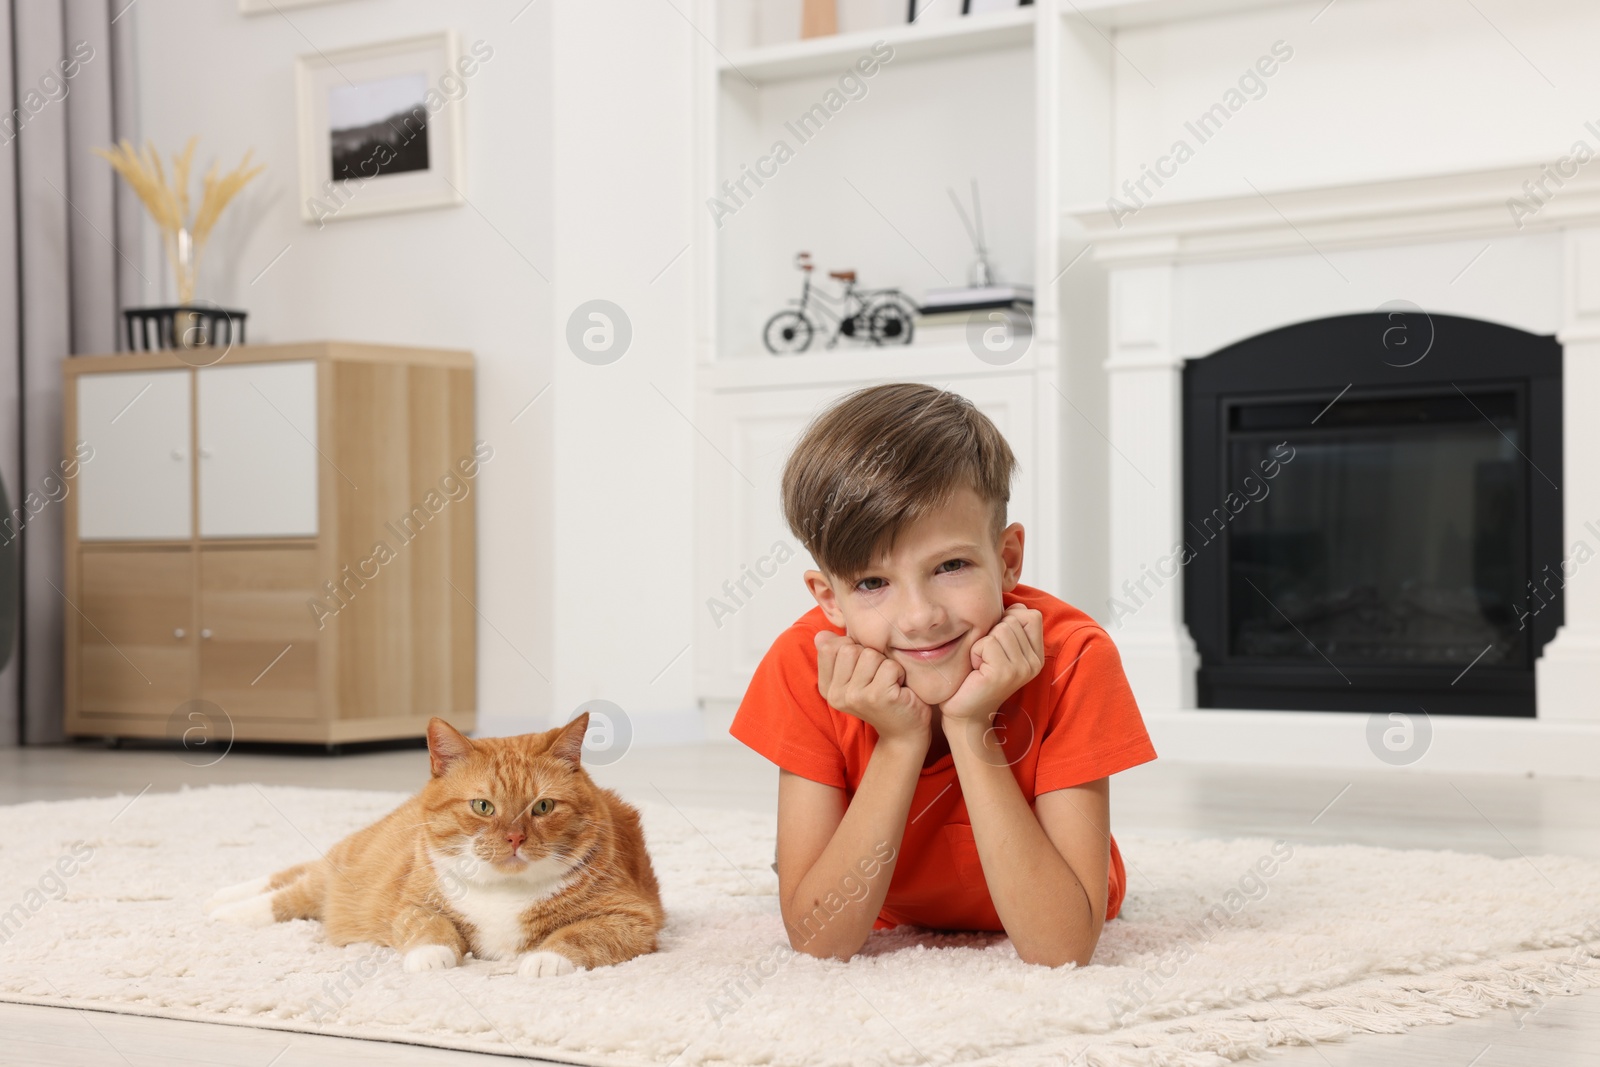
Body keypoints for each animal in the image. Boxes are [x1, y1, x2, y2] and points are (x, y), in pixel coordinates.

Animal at [204, 713, 662, 979]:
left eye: (543, 806)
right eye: (483, 806)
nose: (514, 837)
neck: (504, 891)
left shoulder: (634, 917)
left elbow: (580, 935)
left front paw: (545, 958)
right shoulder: (409, 903)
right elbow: (429, 925)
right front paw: (433, 955)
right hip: (342, 873)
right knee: (292, 888)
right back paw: (223, 907)